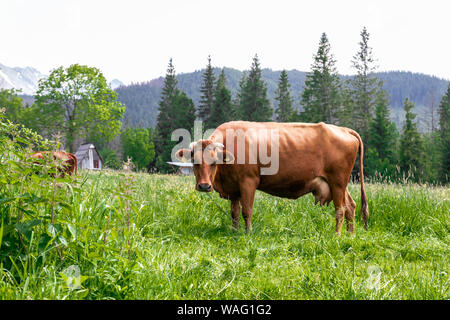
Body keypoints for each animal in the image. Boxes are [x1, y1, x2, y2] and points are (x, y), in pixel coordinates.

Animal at [176, 121, 370, 234]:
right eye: (194, 161)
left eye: (214, 162)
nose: (204, 186)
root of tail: (344, 129)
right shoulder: (234, 188)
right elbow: (234, 213)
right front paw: (234, 232)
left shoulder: (248, 182)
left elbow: (247, 211)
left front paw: (248, 233)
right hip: (338, 184)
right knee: (351, 206)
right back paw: (350, 235)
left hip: (338, 182)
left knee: (340, 210)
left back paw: (337, 235)